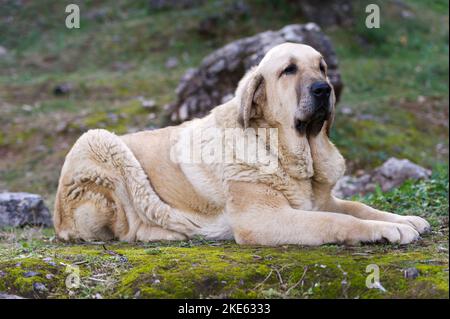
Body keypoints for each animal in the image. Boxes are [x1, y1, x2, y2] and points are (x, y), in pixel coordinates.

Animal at [52, 42, 428, 246]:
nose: (324, 89)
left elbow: (358, 208)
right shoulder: (261, 218)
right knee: (128, 225)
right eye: (289, 70)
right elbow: (337, 221)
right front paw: (389, 230)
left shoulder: (322, 200)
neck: (281, 149)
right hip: (99, 142)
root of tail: (58, 218)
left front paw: (404, 219)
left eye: (321, 67)